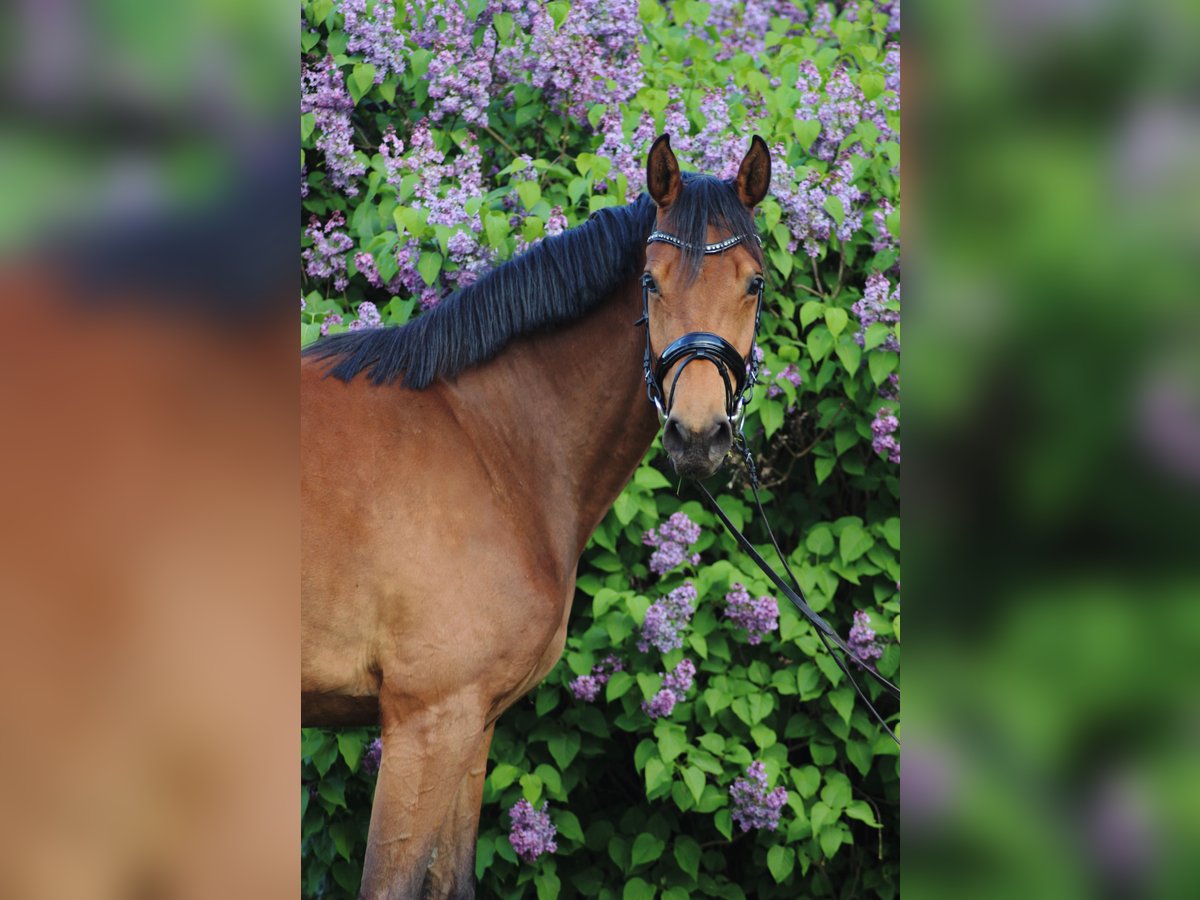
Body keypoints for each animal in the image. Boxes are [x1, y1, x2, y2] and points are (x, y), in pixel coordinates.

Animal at [298, 135, 768, 900]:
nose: (697, 436)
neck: (487, 439)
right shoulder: (428, 722)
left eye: (753, 284)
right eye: (651, 282)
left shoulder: (472, 725)